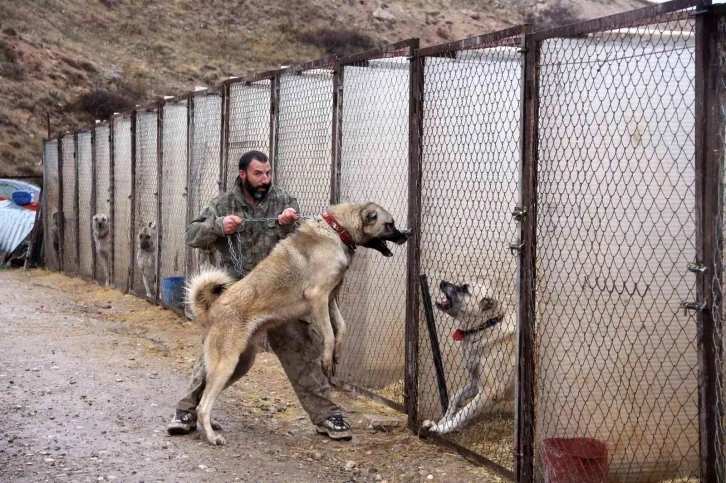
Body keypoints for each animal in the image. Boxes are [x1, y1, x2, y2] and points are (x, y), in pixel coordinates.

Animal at [420, 280, 516, 434]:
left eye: (465, 289)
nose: (442, 282)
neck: (485, 325)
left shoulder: (490, 392)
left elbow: (463, 413)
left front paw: (442, 428)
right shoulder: (476, 383)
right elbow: (455, 396)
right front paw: (442, 421)